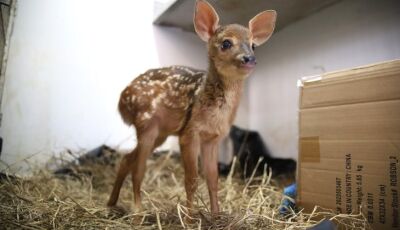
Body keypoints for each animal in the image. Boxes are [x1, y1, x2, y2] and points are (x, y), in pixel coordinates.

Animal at [108, 0, 276, 216]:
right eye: (226, 43)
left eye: (254, 45)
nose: (249, 59)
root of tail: (121, 100)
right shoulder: (189, 133)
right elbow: (191, 180)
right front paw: (189, 218)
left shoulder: (213, 138)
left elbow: (213, 179)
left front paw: (216, 215)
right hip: (146, 123)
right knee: (139, 169)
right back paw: (138, 212)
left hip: (160, 133)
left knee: (127, 159)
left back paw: (112, 203)